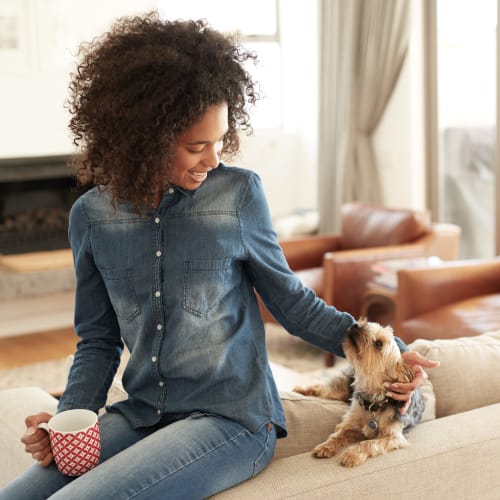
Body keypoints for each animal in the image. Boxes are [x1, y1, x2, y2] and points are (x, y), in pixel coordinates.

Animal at [294, 318, 424, 466]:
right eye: (368, 324)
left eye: (378, 344)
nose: (355, 325)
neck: (374, 401)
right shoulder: (349, 423)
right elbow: (338, 434)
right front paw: (326, 446)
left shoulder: (393, 437)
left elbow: (369, 443)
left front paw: (353, 454)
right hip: (341, 390)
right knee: (322, 388)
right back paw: (300, 389)